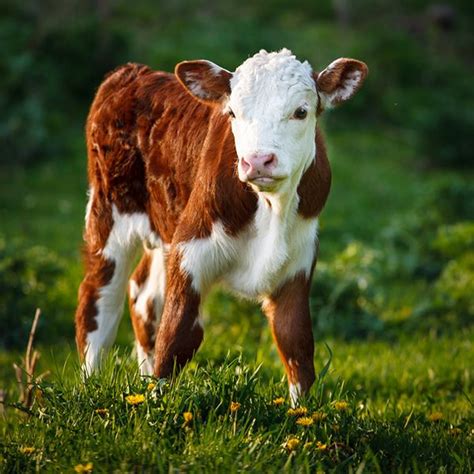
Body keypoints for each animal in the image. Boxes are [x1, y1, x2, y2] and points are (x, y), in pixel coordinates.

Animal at [76, 47, 368, 404]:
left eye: (301, 111)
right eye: (232, 113)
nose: (258, 160)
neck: (270, 209)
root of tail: (132, 73)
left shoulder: (297, 262)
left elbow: (295, 342)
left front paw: (302, 414)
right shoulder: (190, 250)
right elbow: (176, 337)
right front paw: (157, 408)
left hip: (163, 228)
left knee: (143, 296)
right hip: (109, 213)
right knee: (99, 299)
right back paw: (90, 387)